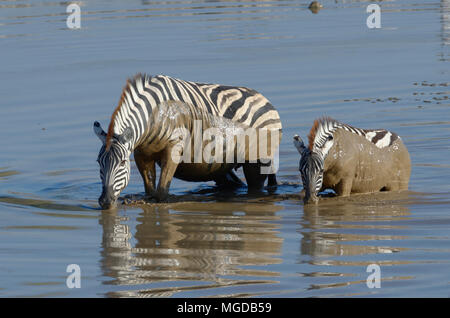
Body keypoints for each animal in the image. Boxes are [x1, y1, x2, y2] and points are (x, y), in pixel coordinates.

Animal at [93, 74, 284, 209]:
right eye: (98, 163)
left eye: (122, 162)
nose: (105, 201)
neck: (153, 117)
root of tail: (264, 99)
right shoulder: (141, 153)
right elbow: (150, 189)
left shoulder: (173, 148)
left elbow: (162, 193)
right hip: (220, 166)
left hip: (257, 162)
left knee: (255, 189)